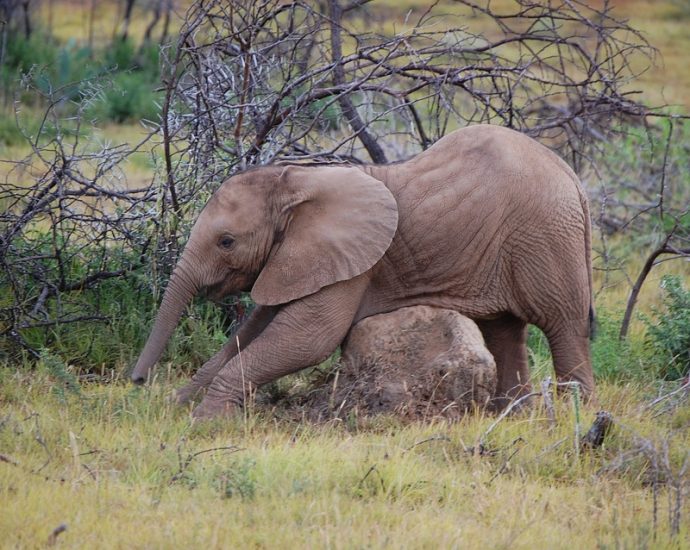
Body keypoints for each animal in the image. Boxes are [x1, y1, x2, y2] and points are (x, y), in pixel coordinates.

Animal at [132, 124, 592, 418]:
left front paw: (205, 421)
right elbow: (253, 332)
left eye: (226, 241)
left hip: (547, 238)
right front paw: (179, 404)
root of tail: (572, 175)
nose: (137, 383)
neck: (299, 180)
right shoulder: (298, 257)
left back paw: (578, 416)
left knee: (563, 327)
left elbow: (307, 339)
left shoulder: (353, 263)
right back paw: (511, 415)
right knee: (504, 331)